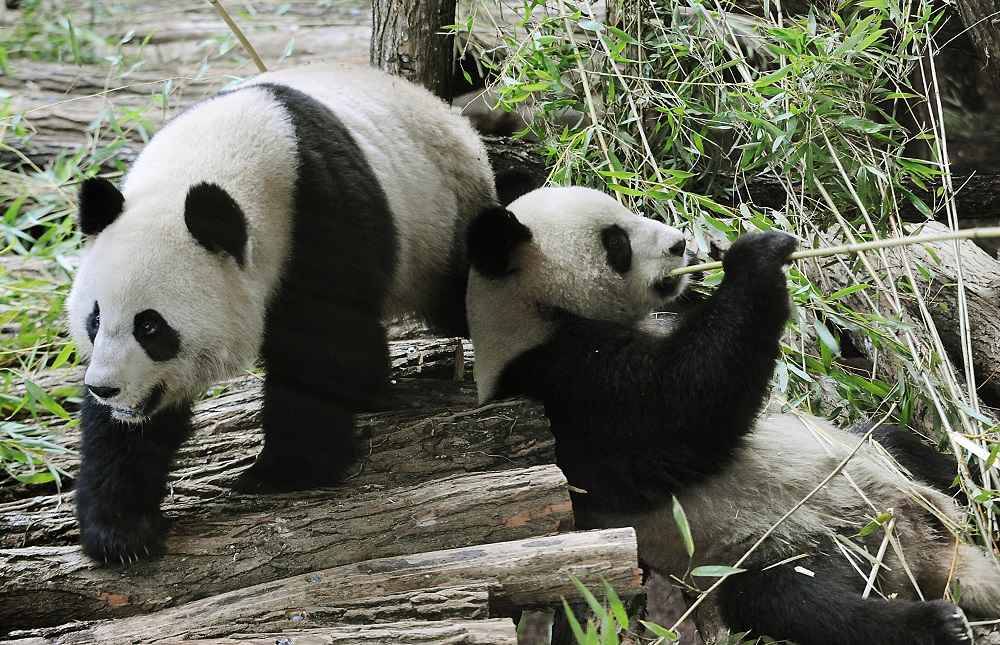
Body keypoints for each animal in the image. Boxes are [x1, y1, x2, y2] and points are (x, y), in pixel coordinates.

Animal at [66, 63, 497, 563]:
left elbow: (320, 346)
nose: (105, 388)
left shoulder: (319, 213)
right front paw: (120, 529)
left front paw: (282, 473)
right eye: (95, 320)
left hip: (444, 219)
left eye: (150, 326)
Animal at [465, 186, 1000, 644]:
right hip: (791, 544)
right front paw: (755, 257)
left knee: (900, 443)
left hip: (876, 464)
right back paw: (935, 624)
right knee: (792, 601)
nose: (681, 244)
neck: (532, 314)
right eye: (615, 242)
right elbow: (679, 409)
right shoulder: (561, 389)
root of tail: (920, 549)